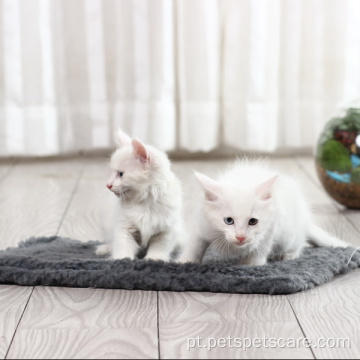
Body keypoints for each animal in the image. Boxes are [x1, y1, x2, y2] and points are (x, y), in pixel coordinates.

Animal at [96, 129, 183, 262]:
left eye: (121, 174)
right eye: (112, 173)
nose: (108, 185)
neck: (144, 201)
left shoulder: (166, 231)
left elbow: (160, 248)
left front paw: (155, 259)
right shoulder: (124, 227)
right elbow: (122, 246)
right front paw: (122, 260)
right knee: (111, 240)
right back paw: (105, 249)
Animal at [180, 159, 348, 266]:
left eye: (252, 221)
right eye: (228, 220)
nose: (241, 237)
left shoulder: (272, 224)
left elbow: (262, 246)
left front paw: (251, 264)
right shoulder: (201, 223)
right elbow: (195, 245)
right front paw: (185, 261)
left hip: (290, 233)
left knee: (298, 240)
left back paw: (290, 254)